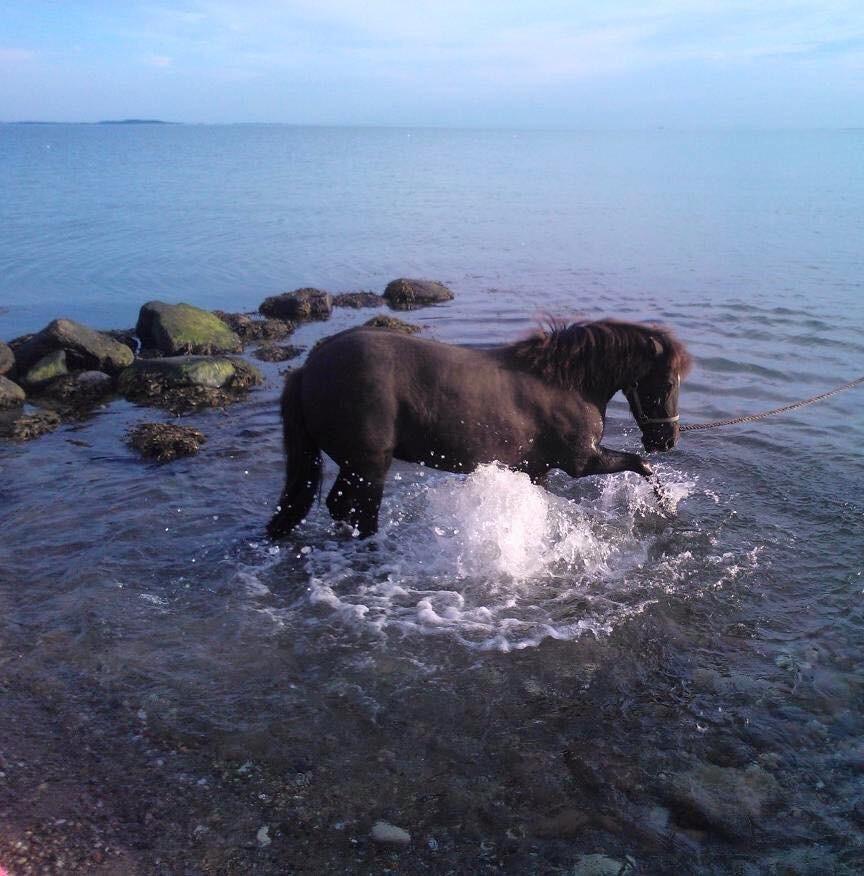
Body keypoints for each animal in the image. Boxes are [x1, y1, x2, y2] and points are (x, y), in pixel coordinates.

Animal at [266, 320, 692, 536]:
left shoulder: (537, 471)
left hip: (355, 466)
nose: (667, 440)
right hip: (368, 466)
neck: (565, 382)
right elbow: (641, 465)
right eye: (666, 384)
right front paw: (665, 505)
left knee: (337, 507)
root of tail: (308, 369)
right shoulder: (582, 462)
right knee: (358, 513)